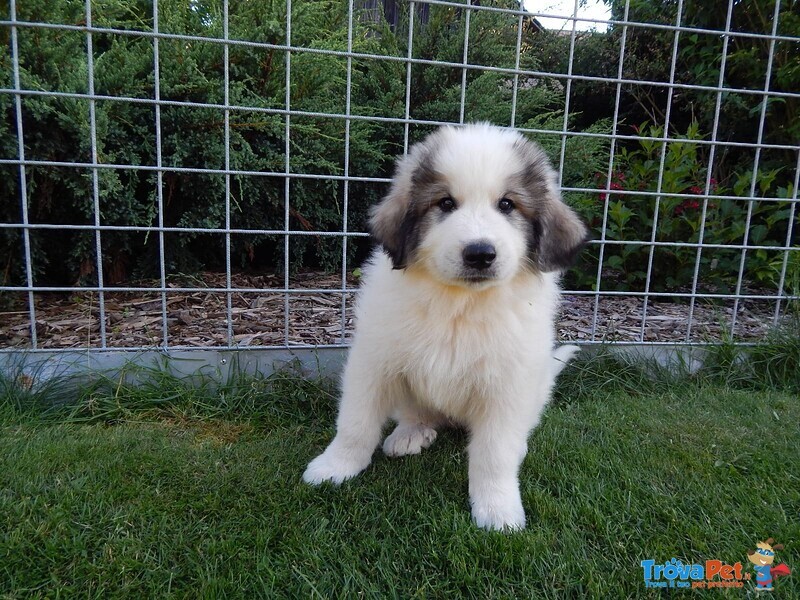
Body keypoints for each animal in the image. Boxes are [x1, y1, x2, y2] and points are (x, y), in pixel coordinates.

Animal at [302, 120, 588, 528]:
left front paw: (498, 508)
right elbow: (355, 421)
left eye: (507, 204)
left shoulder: (509, 383)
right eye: (446, 204)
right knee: (416, 413)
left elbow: (494, 453)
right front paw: (335, 466)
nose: (480, 253)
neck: (459, 304)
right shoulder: (374, 360)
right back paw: (411, 433)